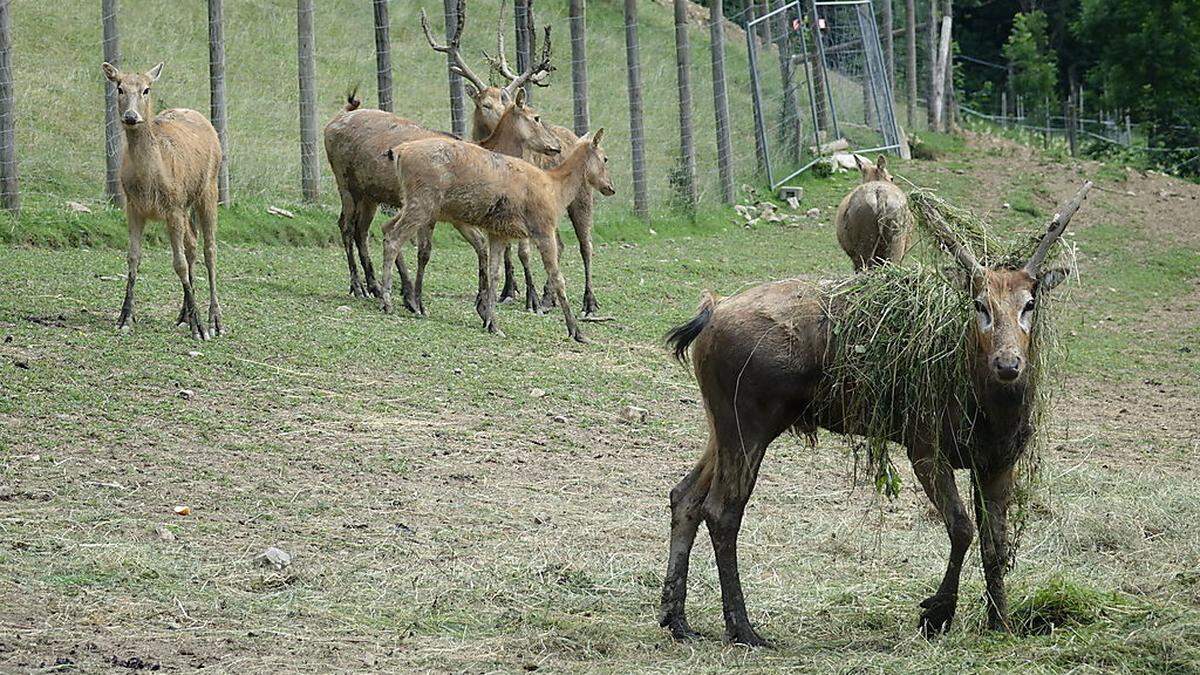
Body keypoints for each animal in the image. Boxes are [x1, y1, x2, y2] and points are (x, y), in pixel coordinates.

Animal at [101, 60, 225, 338]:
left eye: (146, 89)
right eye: (119, 88)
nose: (131, 117)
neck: (150, 180)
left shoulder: (173, 206)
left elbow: (178, 263)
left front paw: (200, 329)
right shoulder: (133, 207)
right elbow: (133, 257)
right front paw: (124, 318)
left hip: (208, 189)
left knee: (209, 248)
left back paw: (215, 321)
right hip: (186, 204)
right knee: (192, 242)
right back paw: (184, 315)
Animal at [379, 130, 614, 341]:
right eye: (605, 158)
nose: (610, 187)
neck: (556, 191)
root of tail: (400, 153)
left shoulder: (498, 232)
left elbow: (494, 274)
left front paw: (493, 324)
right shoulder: (543, 228)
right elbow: (558, 277)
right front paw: (577, 332)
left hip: (414, 203)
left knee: (388, 229)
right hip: (422, 203)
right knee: (394, 240)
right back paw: (387, 301)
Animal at [662, 181, 1094, 643]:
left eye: (1030, 303)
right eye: (979, 304)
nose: (1008, 364)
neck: (990, 415)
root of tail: (709, 313)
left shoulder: (999, 460)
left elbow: (996, 544)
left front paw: (1001, 623)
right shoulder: (924, 445)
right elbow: (961, 527)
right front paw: (936, 613)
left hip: (720, 421)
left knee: (685, 494)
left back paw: (676, 618)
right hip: (749, 420)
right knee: (722, 510)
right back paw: (742, 627)